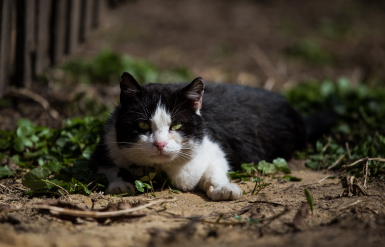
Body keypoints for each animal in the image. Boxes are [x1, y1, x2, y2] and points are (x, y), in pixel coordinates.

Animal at [88, 71, 308, 201]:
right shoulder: (105, 144)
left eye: (176, 125)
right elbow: (110, 168)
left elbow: (214, 170)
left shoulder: (212, 149)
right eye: (143, 125)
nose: (160, 144)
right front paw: (120, 184)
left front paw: (223, 188)